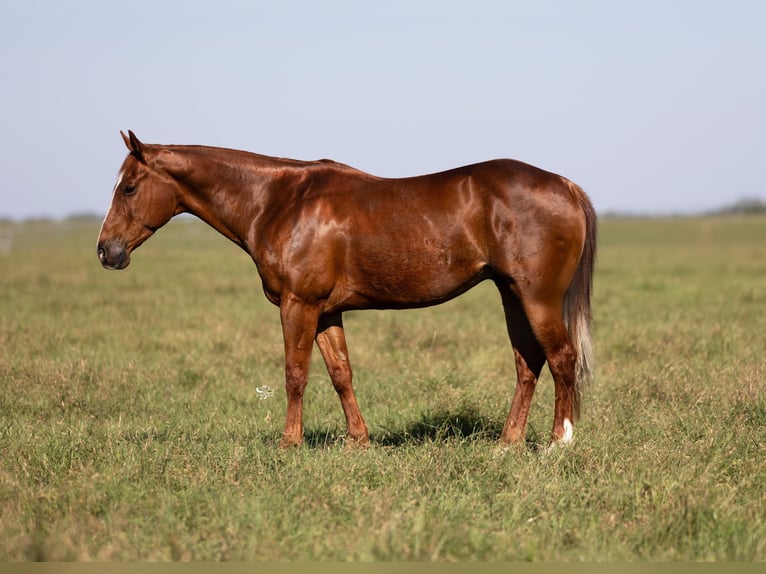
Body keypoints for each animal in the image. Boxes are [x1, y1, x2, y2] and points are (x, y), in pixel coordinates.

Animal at [99, 132, 596, 450]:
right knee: (528, 363)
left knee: (561, 358)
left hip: (537, 299)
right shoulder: (325, 312)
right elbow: (341, 373)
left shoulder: (297, 305)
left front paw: (289, 444)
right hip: (511, 294)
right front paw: (359, 441)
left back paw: (560, 442)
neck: (278, 201)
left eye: (129, 187)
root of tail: (566, 186)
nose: (106, 251)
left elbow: (295, 374)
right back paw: (508, 443)